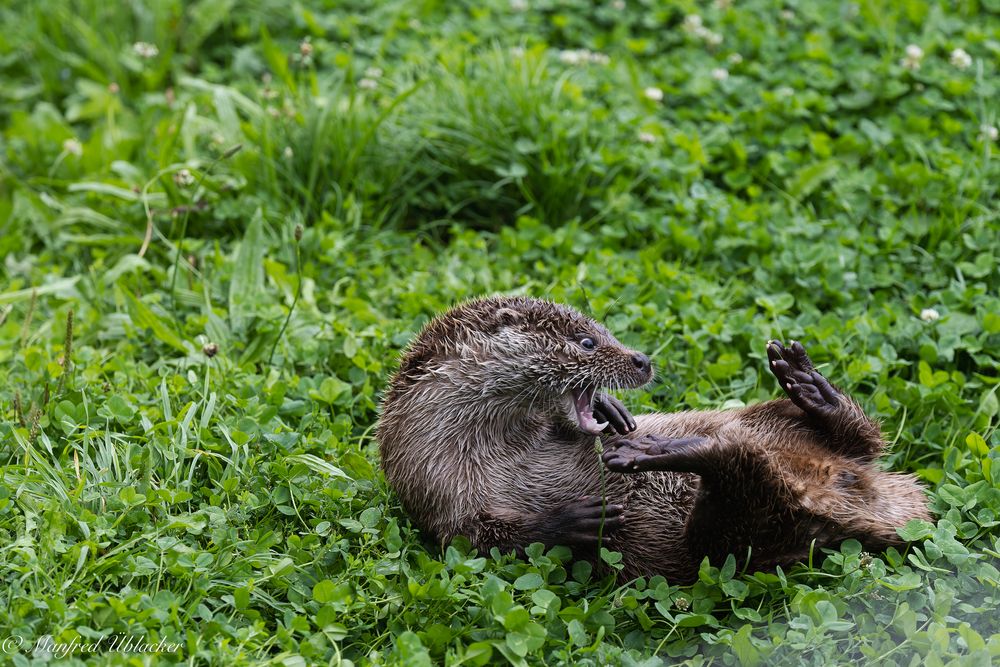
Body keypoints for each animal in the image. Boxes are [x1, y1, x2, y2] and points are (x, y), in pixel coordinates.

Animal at [376, 294, 928, 580]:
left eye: (603, 328)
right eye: (587, 341)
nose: (641, 359)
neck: (488, 448)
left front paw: (611, 408)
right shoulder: (439, 496)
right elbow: (485, 541)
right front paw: (576, 521)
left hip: (770, 424)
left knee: (858, 437)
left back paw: (805, 385)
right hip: (751, 540)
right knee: (745, 489)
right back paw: (669, 452)